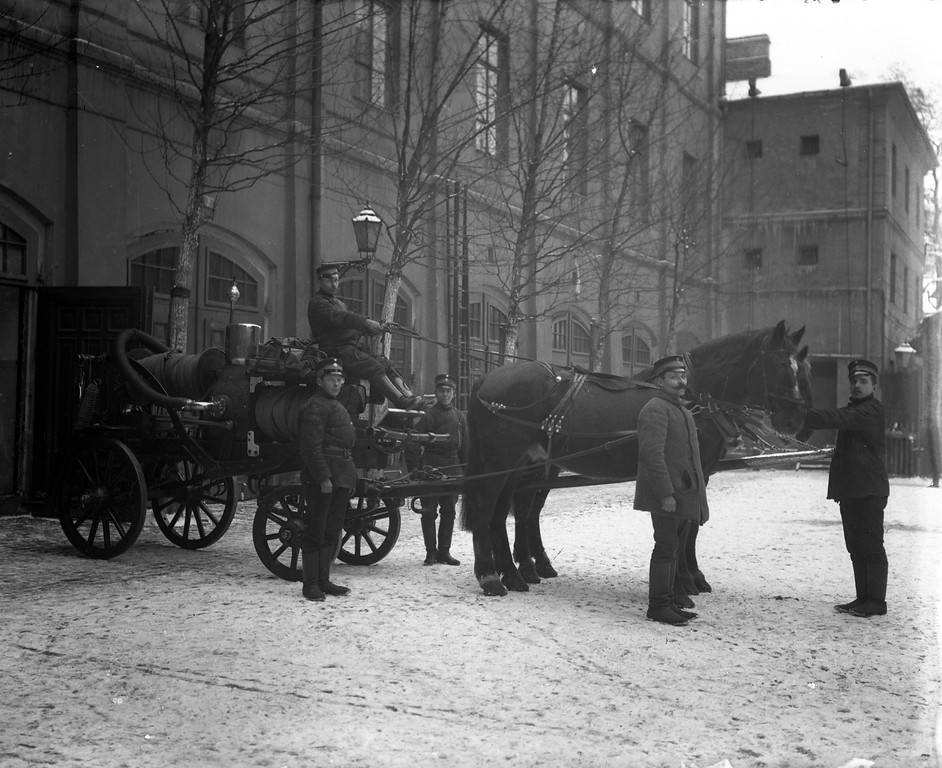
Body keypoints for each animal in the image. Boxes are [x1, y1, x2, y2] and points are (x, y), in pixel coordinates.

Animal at [460, 320, 808, 596]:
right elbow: (685, 528)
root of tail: (487, 378)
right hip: (500, 462)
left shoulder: (701, 473)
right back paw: (491, 576)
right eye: (780, 364)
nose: (795, 421)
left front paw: (690, 577)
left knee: (507, 513)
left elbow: (690, 528)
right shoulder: (687, 473)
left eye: (801, 368)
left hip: (519, 465)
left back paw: (516, 573)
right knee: (487, 509)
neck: (691, 399)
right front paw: (684, 580)